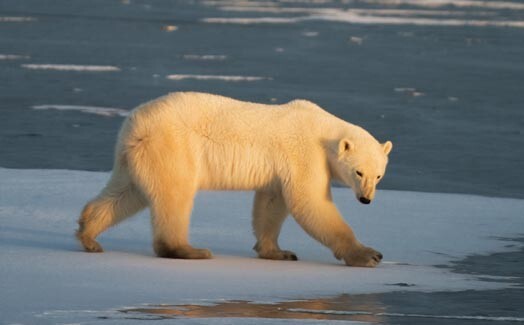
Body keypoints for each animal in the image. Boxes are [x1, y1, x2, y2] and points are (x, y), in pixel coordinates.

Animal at [75, 91, 390, 266]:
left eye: (379, 175)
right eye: (359, 172)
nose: (366, 199)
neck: (323, 129)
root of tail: (135, 124)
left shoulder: (280, 169)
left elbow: (271, 203)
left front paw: (278, 251)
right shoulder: (304, 153)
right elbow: (310, 202)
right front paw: (369, 255)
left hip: (137, 156)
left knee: (125, 193)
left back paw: (89, 236)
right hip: (173, 146)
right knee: (175, 195)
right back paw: (190, 250)